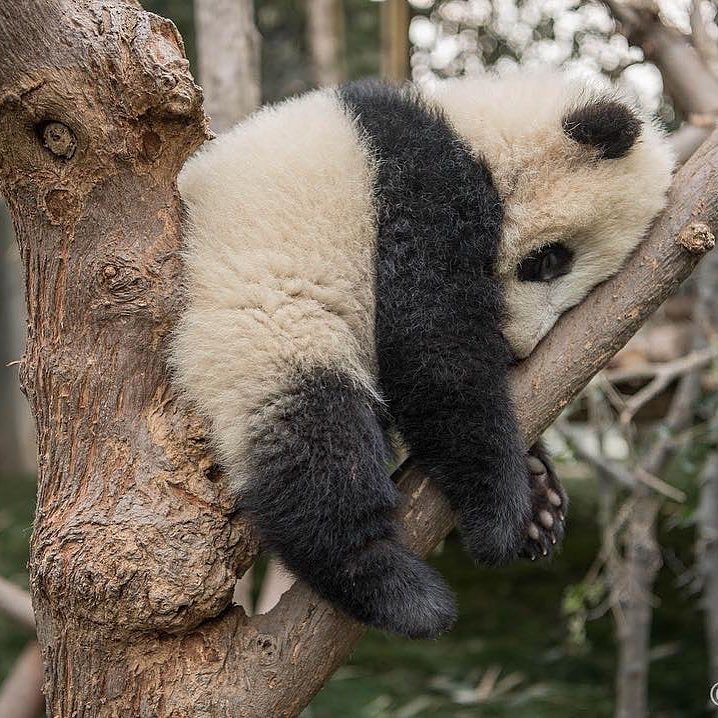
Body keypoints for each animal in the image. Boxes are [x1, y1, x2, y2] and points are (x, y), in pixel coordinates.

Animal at [169, 70, 674, 639]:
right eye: (549, 260)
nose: (517, 348)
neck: (477, 129)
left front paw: (537, 493)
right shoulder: (415, 186)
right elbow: (434, 348)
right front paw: (501, 515)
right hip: (262, 322)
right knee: (314, 441)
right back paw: (397, 591)